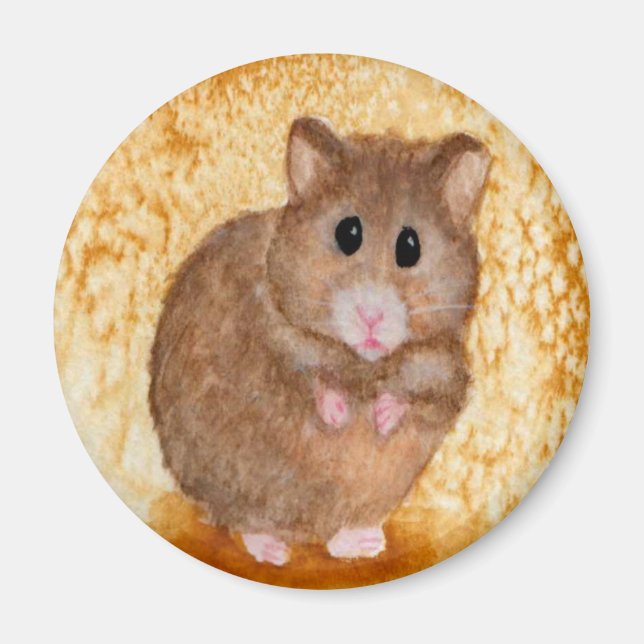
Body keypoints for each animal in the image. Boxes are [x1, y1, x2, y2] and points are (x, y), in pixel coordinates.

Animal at [149, 117, 491, 565]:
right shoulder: (266, 332)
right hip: (227, 481)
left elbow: (423, 397)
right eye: (348, 233)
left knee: (332, 534)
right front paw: (339, 414)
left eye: (410, 246)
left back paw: (366, 543)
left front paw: (381, 415)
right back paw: (274, 552)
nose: (371, 317)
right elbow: (303, 373)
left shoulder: (445, 367)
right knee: (242, 519)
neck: (362, 364)